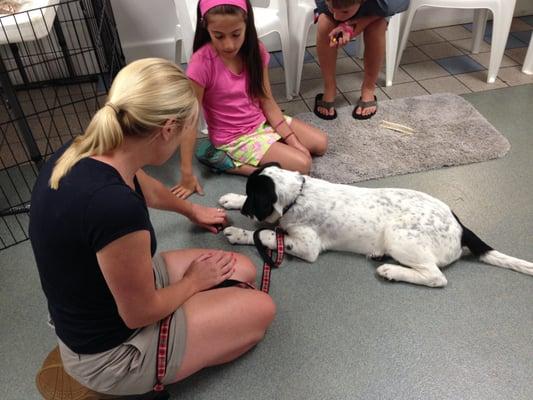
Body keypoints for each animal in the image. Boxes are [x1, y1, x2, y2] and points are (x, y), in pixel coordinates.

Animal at [219, 163, 532, 288]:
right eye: (248, 194)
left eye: (254, 200)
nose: (244, 210)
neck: (298, 195)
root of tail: (461, 227)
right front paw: (232, 199)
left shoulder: (307, 247)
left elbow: (267, 234)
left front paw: (240, 231)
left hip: (399, 236)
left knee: (435, 277)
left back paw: (392, 270)